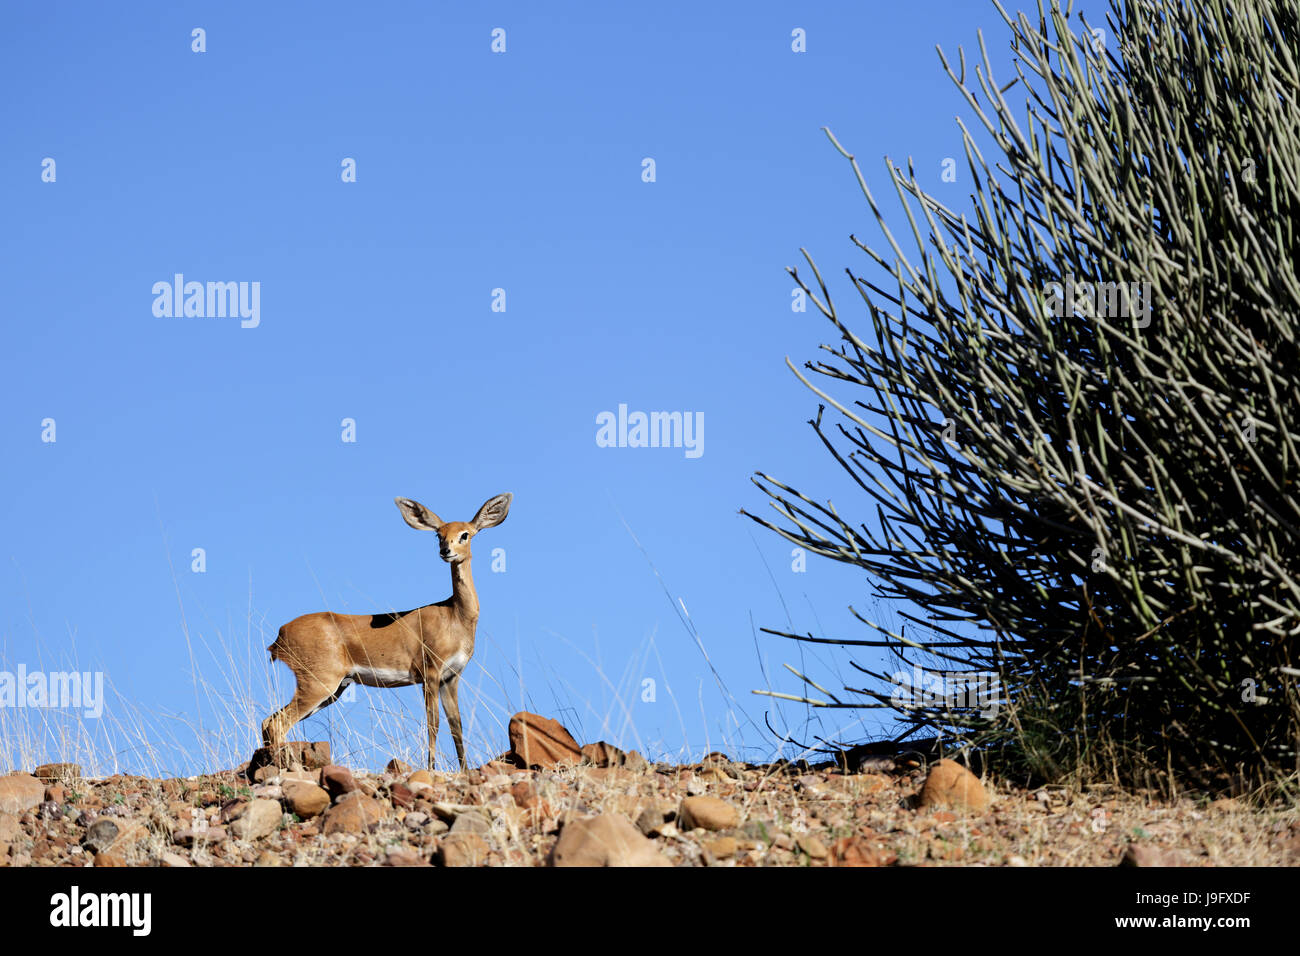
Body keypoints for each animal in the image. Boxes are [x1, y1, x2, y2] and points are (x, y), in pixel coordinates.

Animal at [261, 494, 509, 770]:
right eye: (439, 534)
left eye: (465, 534)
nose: (446, 551)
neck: (455, 614)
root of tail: (280, 635)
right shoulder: (430, 674)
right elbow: (433, 724)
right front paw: (430, 768)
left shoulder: (451, 677)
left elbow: (457, 726)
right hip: (319, 685)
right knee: (277, 723)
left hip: (332, 690)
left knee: (268, 721)